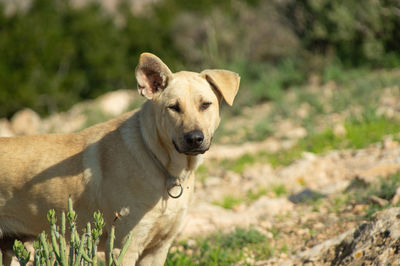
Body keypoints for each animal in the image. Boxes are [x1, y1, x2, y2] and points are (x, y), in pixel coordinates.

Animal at [0, 53, 239, 264]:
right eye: (173, 107)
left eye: (205, 104)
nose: (194, 139)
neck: (160, 162)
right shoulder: (123, 247)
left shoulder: (158, 248)